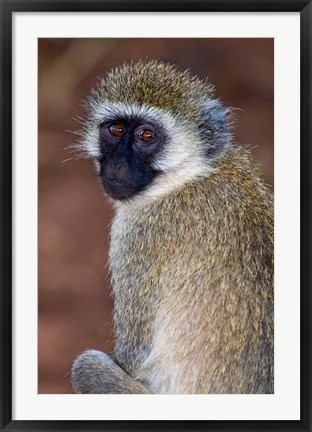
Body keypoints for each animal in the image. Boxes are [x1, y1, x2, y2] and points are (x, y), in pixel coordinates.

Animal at [70, 60, 272, 394]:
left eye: (147, 136)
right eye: (116, 129)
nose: (118, 164)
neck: (189, 176)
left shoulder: (139, 234)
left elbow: (132, 357)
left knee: (86, 366)